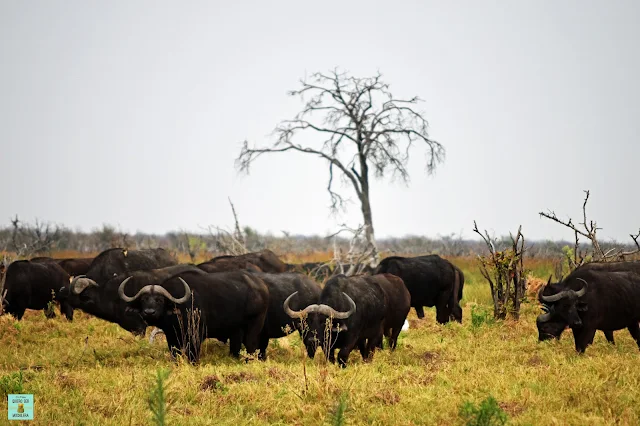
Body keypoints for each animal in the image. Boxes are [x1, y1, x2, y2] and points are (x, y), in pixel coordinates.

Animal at [119, 270, 268, 362]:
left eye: (159, 300)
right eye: (143, 299)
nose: (149, 312)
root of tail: (262, 286)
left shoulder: (196, 336)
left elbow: (193, 355)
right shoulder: (171, 336)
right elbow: (174, 354)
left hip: (255, 325)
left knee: (251, 345)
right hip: (236, 329)